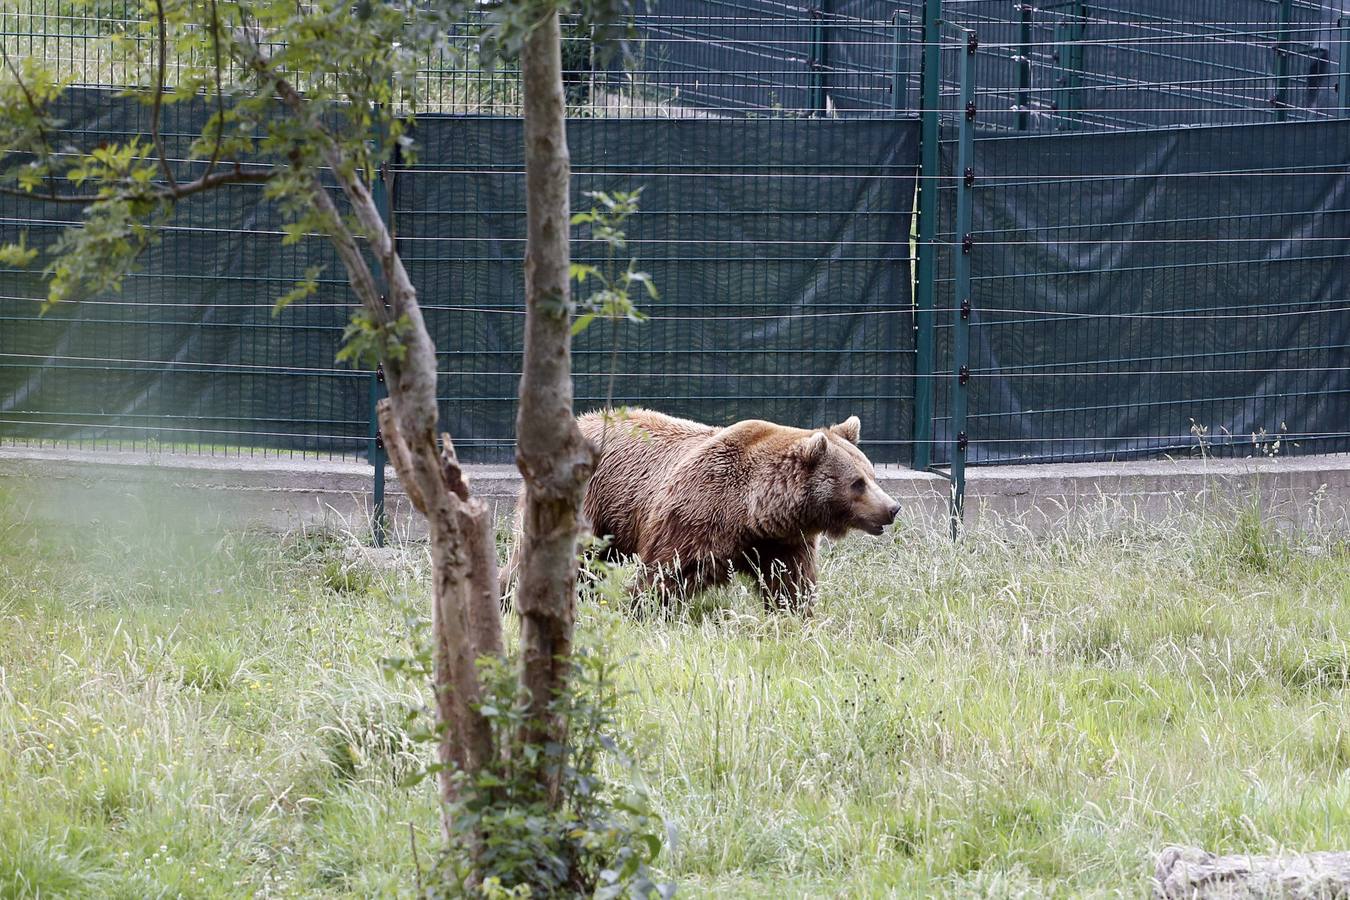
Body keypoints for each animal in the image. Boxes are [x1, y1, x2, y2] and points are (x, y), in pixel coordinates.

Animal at [575, 407, 901, 612]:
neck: (753, 512)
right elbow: (667, 572)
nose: (893, 508)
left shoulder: (782, 541)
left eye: (871, 474)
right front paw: (644, 608)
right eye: (857, 483)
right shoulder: (696, 515)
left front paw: (796, 614)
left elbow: (790, 582)